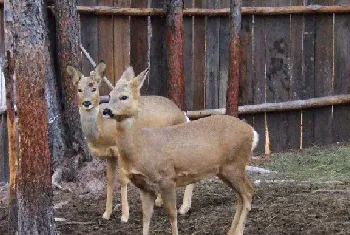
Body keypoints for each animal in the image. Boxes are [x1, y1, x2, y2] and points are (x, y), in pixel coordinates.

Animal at [67, 63, 196, 222]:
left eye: (94, 88)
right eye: (78, 89)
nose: (86, 103)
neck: (101, 132)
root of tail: (183, 115)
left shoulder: (119, 150)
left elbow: (122, 180)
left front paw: (124, 215)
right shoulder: (109, 155)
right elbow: (109, 180)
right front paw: (106, 213)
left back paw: (183, 208)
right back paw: (160, 201)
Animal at [102, 68, 258, 235]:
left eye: (124, 96)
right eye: (109, 95)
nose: (106, 110)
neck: (141, 147)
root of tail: (252, 132)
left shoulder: (167, 178)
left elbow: (172, 215)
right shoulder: (145, 186)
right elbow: (146, 216)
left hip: (235, 164)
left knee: (248, 192)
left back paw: (239, 230)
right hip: (224, 169)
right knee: (241, 196)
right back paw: (231, 231)